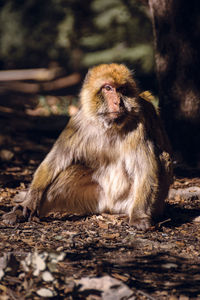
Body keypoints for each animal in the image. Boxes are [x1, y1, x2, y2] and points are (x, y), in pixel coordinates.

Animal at [2, 63, 173, 230]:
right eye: (108, 88)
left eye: (122, 89)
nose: (118, 102)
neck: (109, 126)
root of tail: (109, 207)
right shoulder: (78, 123)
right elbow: (54, 161)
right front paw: (29, 202)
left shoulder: (139, 127)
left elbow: (145, 169)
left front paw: (139, 215)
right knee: (70, 171)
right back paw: (23, 212)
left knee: (163, 160)